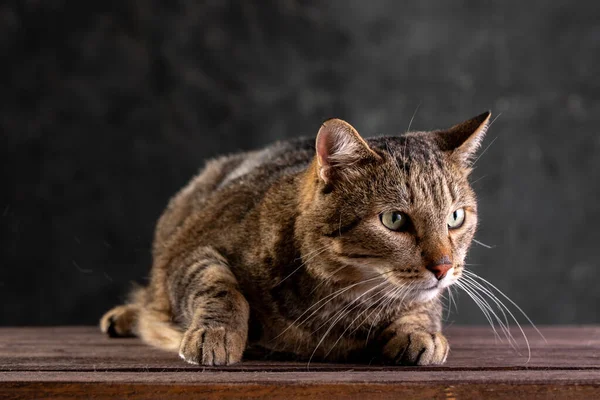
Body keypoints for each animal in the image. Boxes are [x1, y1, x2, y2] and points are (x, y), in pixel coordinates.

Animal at [99, 111, 492, 366]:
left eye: (455, 217)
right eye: (394, 219)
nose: (443, 267)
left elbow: (424, 307)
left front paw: (419, 330)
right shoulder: (190, 250)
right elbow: (218, 285)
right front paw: (218, 333)